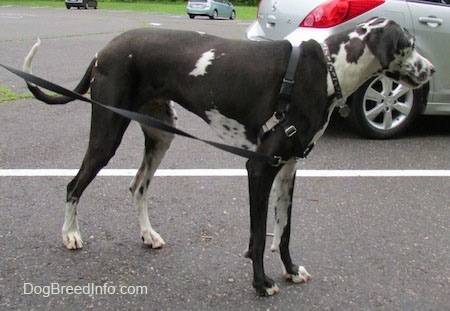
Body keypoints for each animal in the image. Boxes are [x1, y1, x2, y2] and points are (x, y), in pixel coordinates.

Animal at [21, 17, 432, 298]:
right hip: (107, 134)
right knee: (74, 184)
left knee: (138, 186)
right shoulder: (260, 168)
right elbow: (259, 234)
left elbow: (283, 231)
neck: (330, 69)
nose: (431, 69)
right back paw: (70, 234)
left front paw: (290, 269)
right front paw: (261, 283)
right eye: (409, 44)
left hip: (161, 136)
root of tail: (102, 50)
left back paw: (148, 234)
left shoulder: (289, 169)